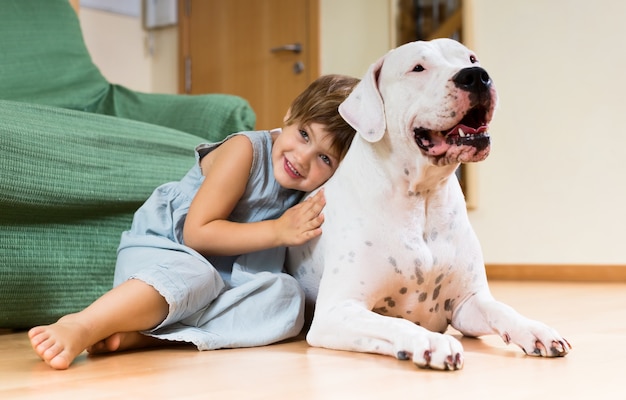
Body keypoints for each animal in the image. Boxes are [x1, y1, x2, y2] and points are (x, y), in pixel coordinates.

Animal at [286, 39, 568, 370]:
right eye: (418, 68)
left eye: (471, 58)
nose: (476, 76)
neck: (422, 198)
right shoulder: (336, 310)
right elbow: (394, 322)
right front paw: (431, 341)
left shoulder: (467, 303)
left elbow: (501, 309)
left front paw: (535, 329)